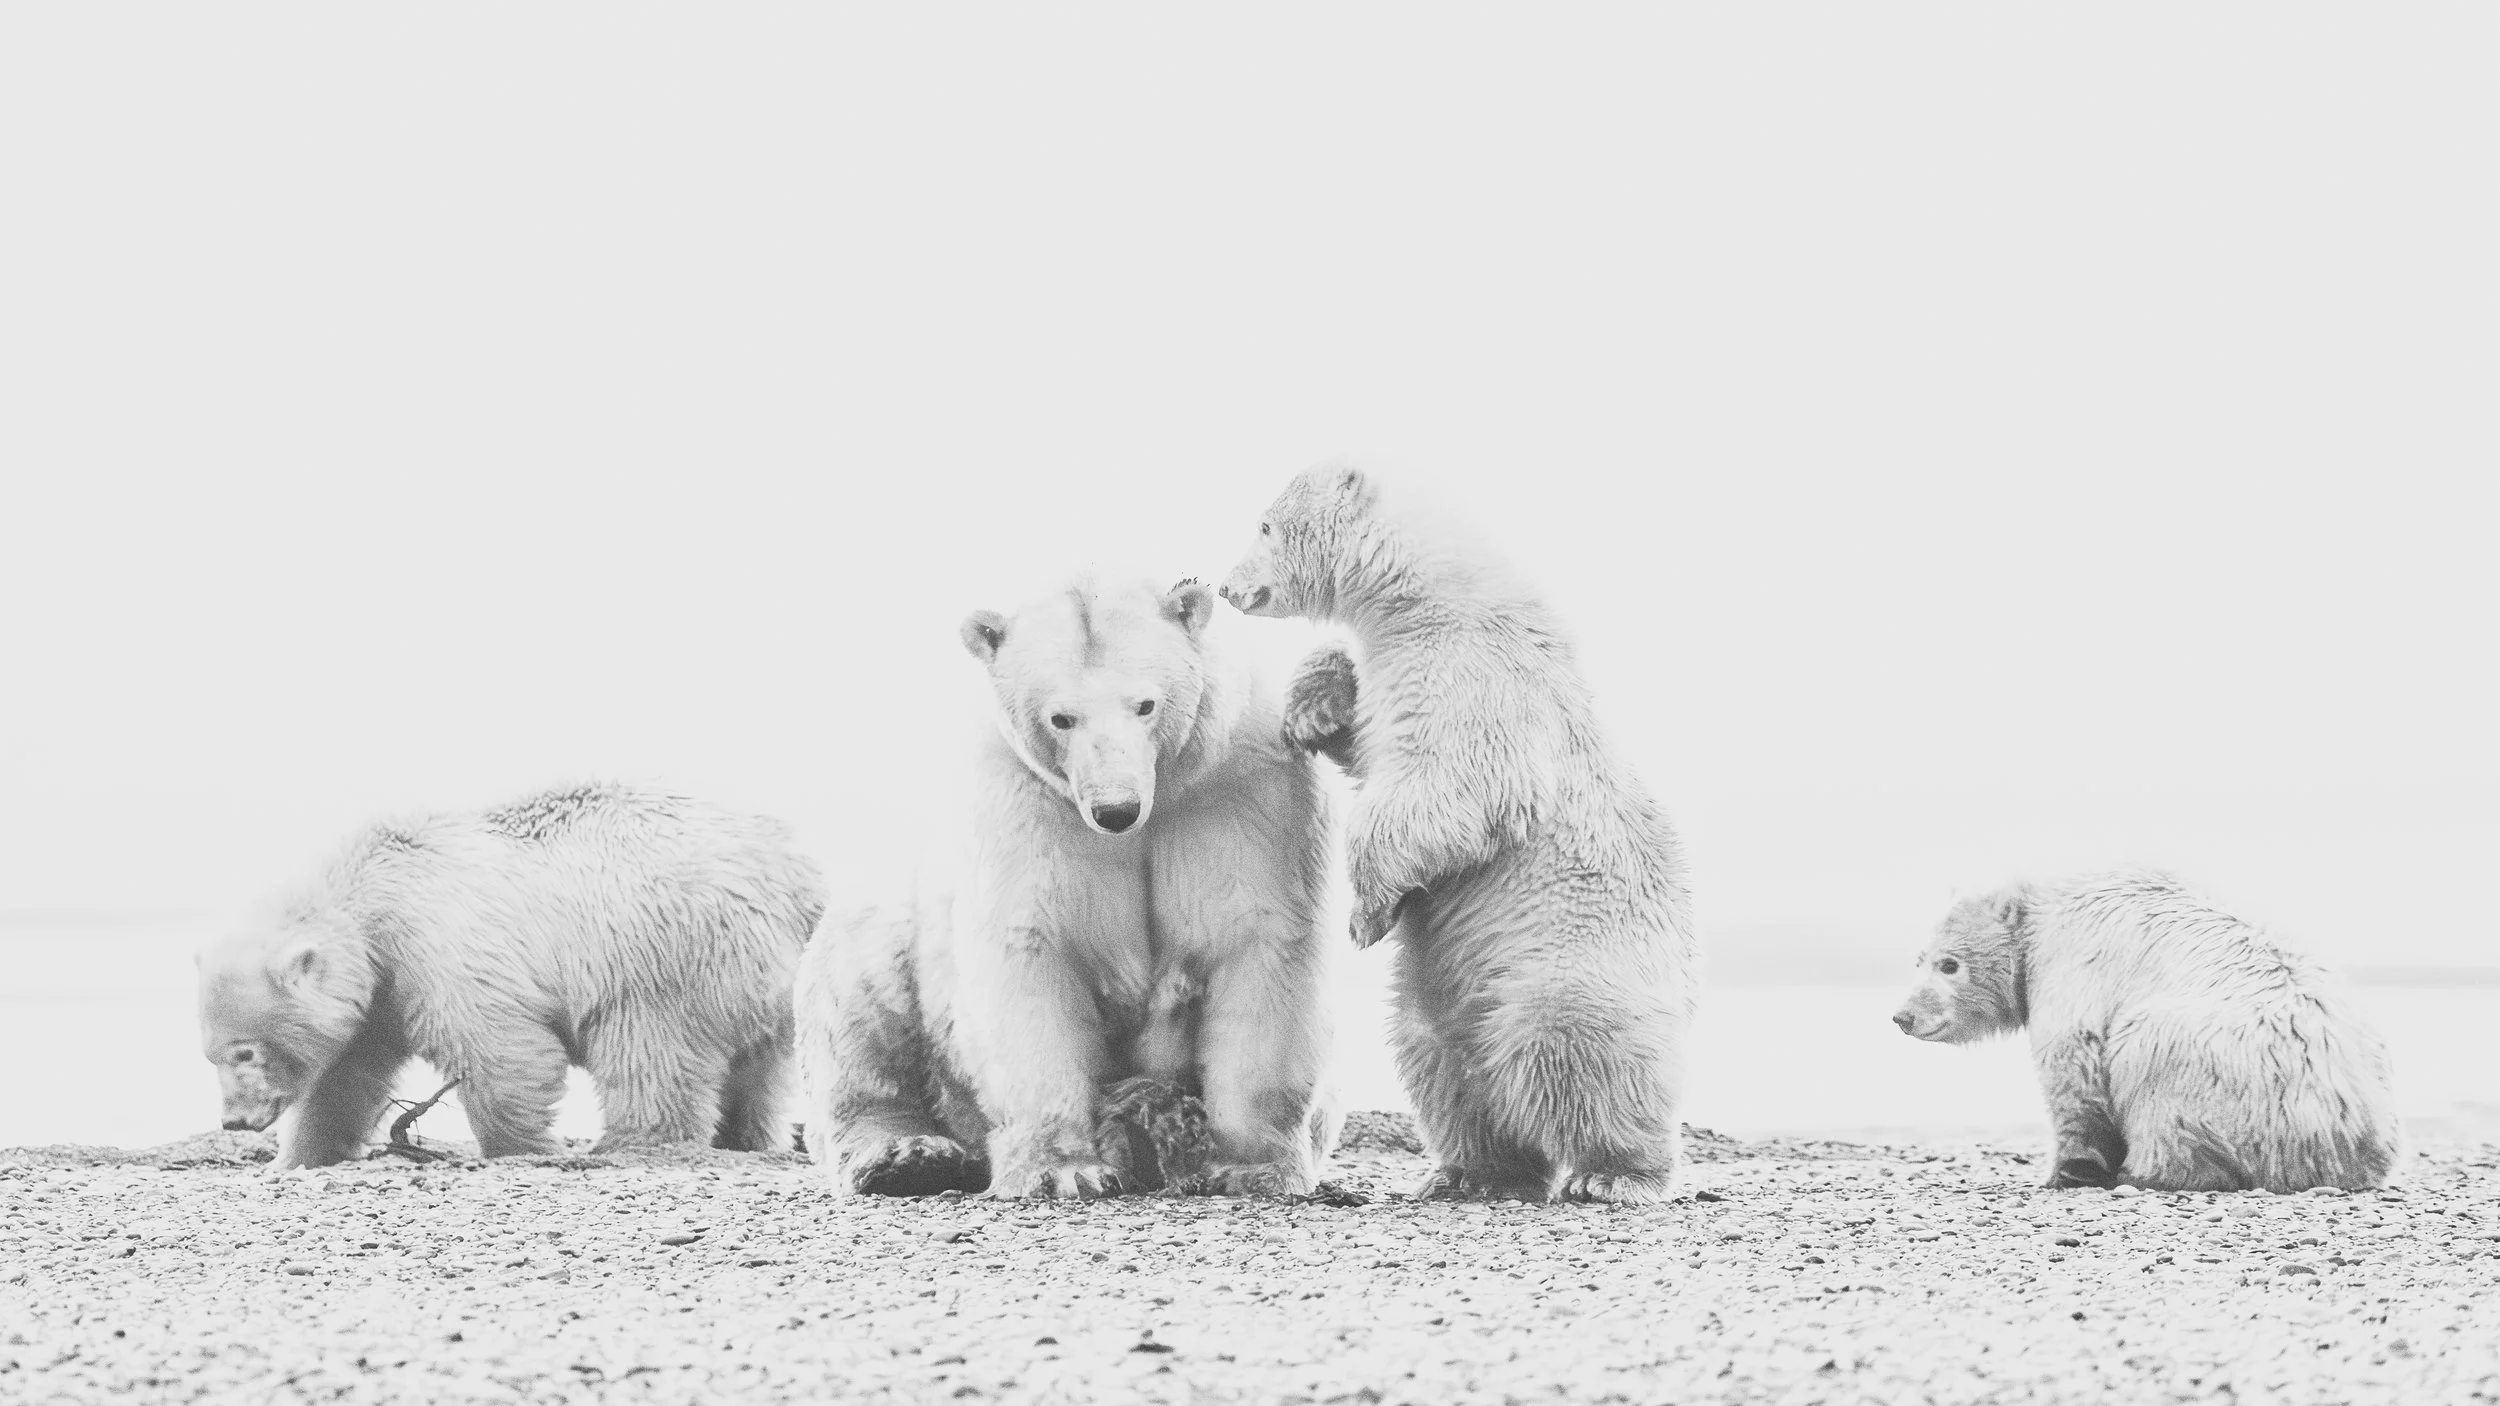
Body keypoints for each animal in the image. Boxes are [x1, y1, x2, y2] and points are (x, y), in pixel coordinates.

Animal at [196, 783, 825, 1169]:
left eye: (245, 1052)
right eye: (211, 1055)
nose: (233, 1120)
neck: (374, 893)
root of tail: (800, 881)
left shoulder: (438, 946)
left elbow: (500, 1049)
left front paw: (520, 1147)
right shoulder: (383, 991)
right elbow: (347, 1077)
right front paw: (301, 1155)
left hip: (665, 950)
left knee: (649, 1050)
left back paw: (631, 1141)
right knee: (759, 1068)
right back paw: (743, 1137)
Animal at [795, 575, 1343, 1199]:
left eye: (1146, 704)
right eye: (1061, 717)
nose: (1115, 809)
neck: (1162, 790)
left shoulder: (1246, 792)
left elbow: (1261, 942)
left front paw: (1253, 1169)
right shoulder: (1023, 800)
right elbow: (1031, 952)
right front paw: (1063, 1171)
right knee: (863, 1007)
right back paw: (908, 1154)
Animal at [1218, 465, 1700, 1204]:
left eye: (1265, 525)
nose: (1225, 585)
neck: (1431, 592)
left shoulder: (1472, 671)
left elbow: (1452, 787)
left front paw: (1365, 913)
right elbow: (1362, 737)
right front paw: (1310, 708)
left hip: (1574, 964)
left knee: (1585, 1053)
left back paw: (1612, 1173)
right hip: (1435, 1000)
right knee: (1441, 1066)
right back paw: (1471, 1170)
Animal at [1891, 869, 2400, 1192]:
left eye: (1949, 964)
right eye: (1918, 959)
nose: (1903, 1016)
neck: (2042, 922)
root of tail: (2339, 1140)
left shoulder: (2073, 965)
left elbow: (2074, 1063)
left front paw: (2070, 1171)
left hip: (2217, 1065)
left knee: (2152, 1072)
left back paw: (2145, 1173)